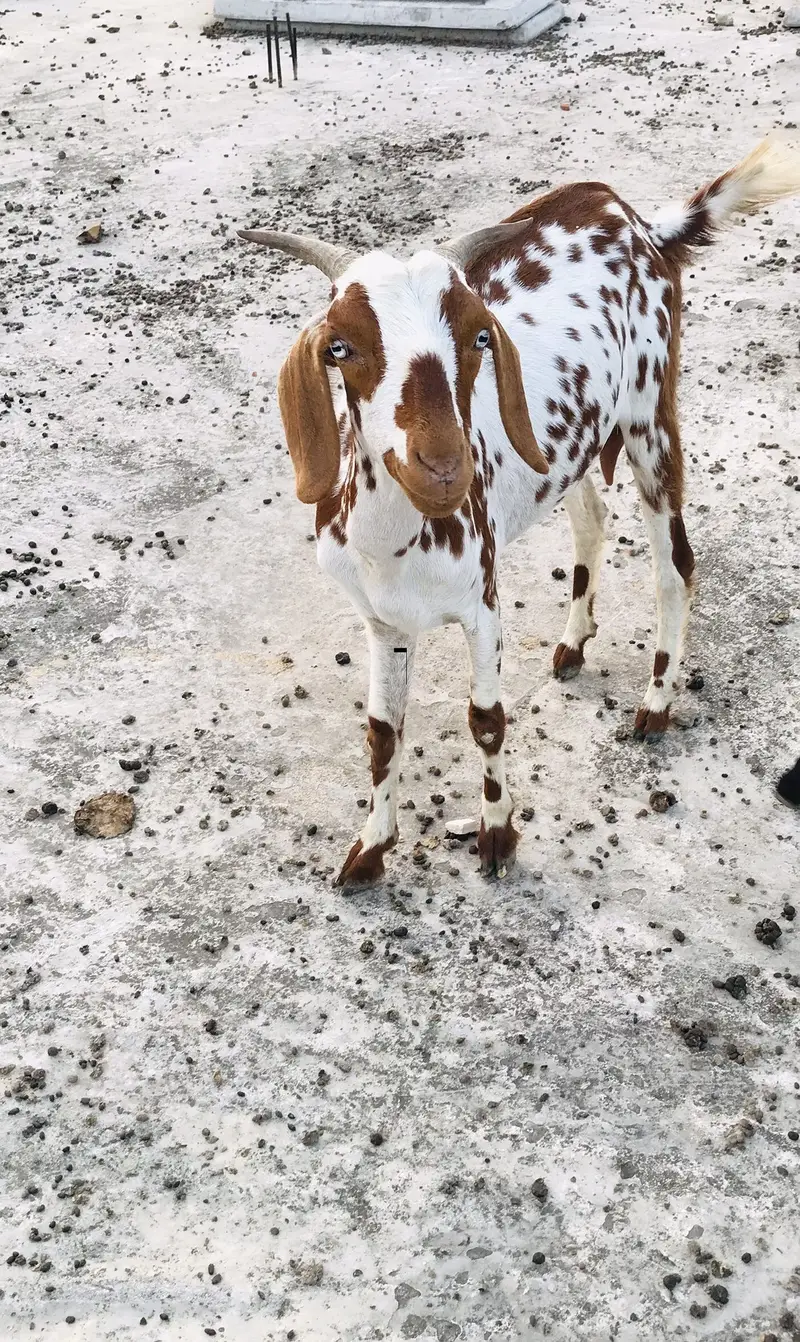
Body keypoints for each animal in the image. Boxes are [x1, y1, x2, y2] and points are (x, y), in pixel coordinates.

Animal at [239, 139, 800, 887]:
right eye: (340, 346)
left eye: (479, 336)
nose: (444, 468)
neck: (393, 543)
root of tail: (641, 223)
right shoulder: (380, 620)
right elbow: (383, 733)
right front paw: (370, 848)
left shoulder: (482, 605)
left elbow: (486, 718)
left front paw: (497, 837)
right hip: (574, 446)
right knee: (592, 518)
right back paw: (574, 640)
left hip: (650, 415)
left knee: (675, 563)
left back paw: (656, 703)